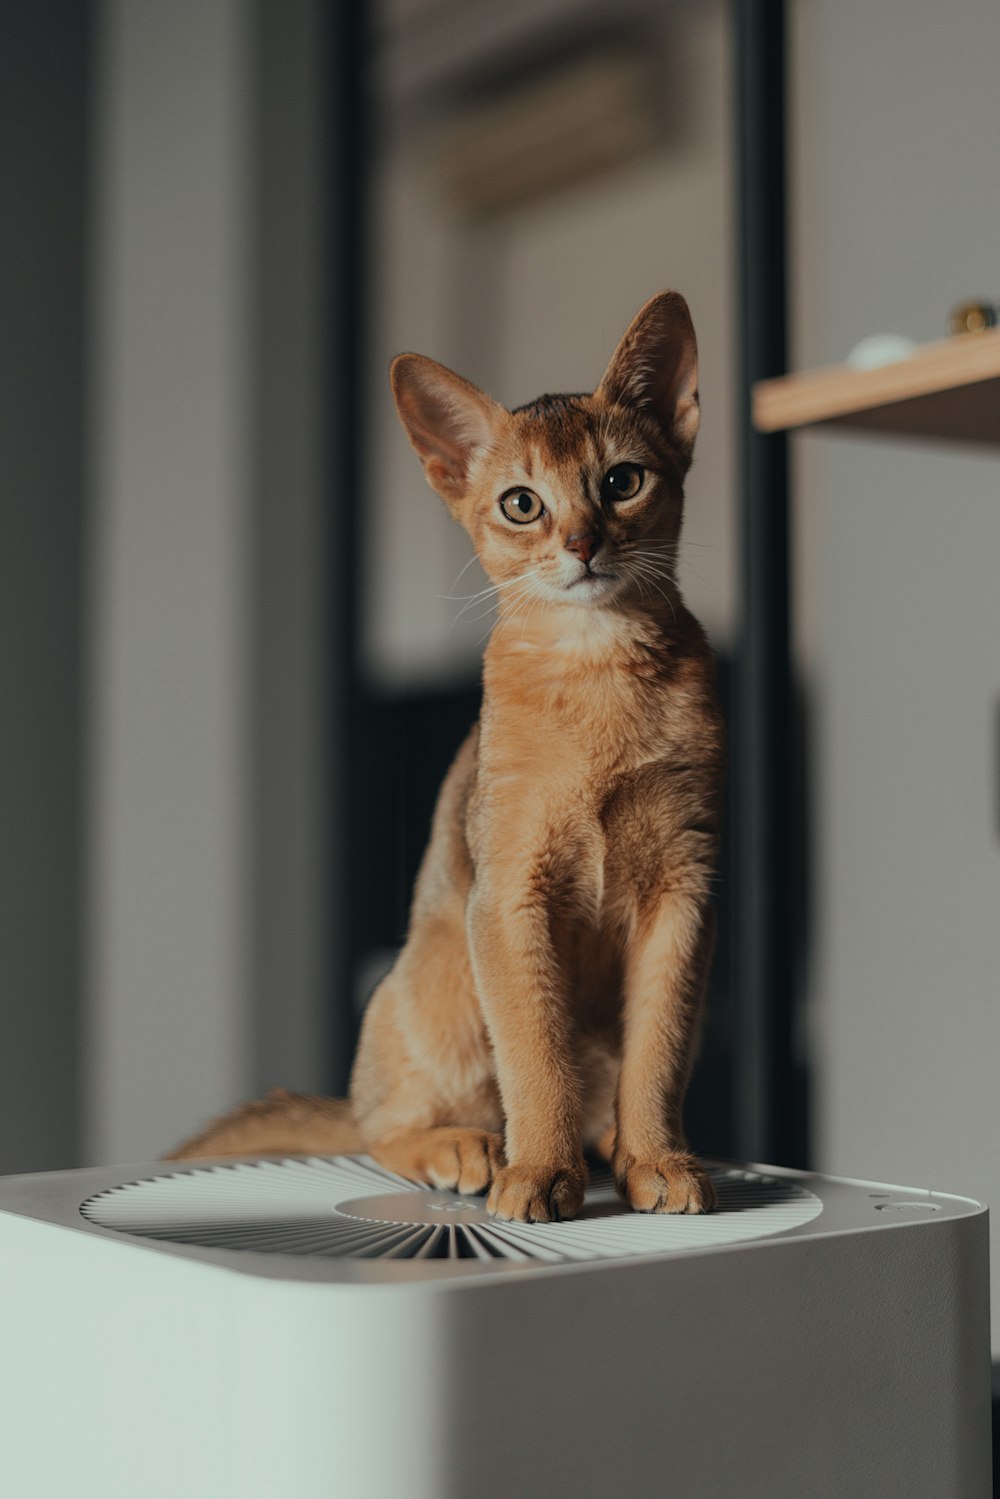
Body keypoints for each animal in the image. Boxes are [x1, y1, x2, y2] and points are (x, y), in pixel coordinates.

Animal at [167, 289, 722, 1217]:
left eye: (621, 481)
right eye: (522, 503)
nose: (582, 543)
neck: (600, 673)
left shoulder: (684, 891)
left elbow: (659, 1049)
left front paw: (658, 1157)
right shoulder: (508, 893)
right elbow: (535, 1054)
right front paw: (540, 1171)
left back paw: (609, 1143)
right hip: (435, 984)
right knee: (379, 1128)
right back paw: (465, 1147)